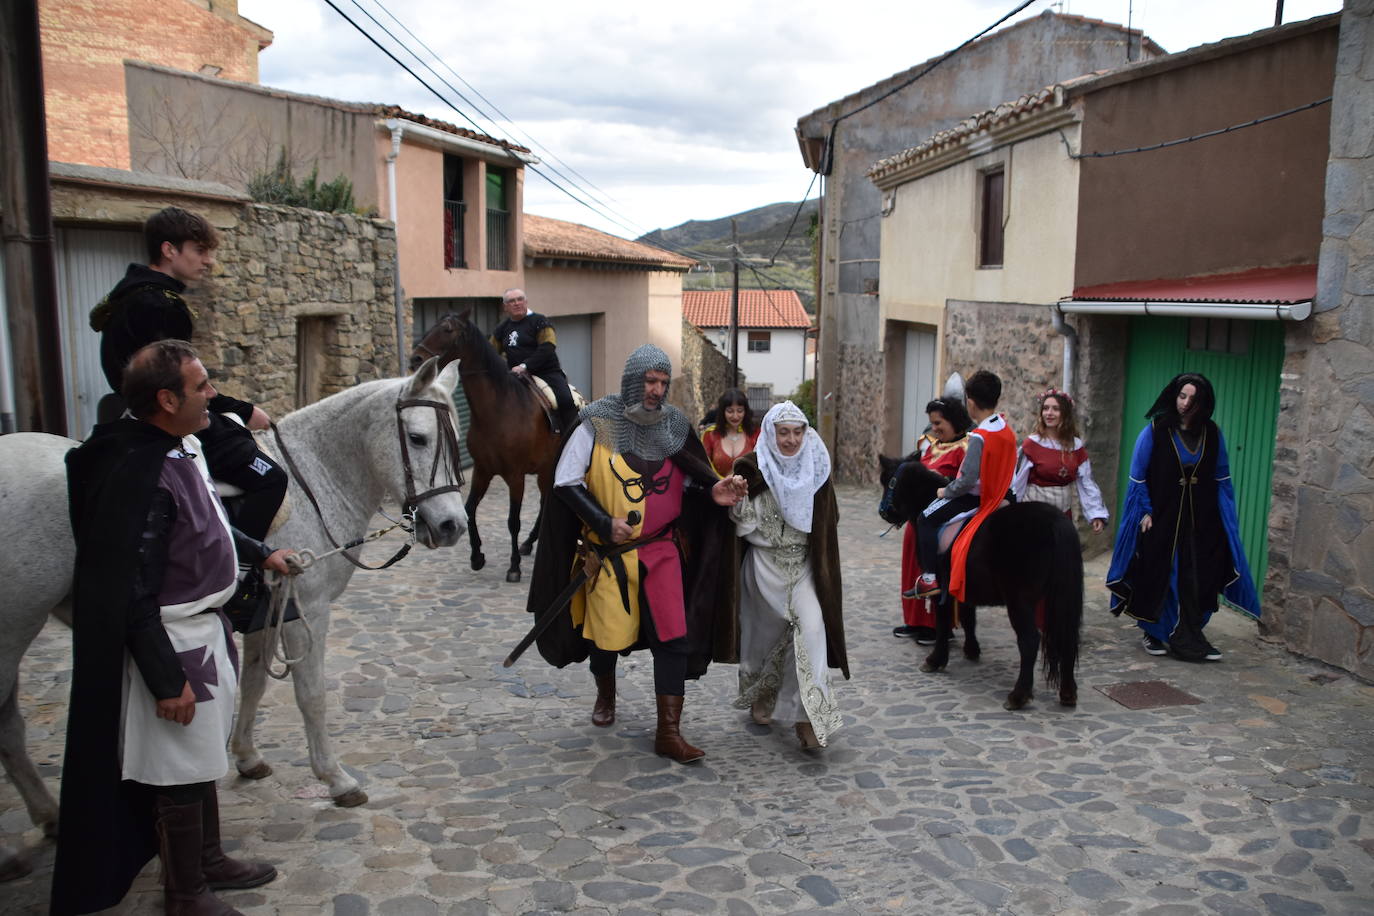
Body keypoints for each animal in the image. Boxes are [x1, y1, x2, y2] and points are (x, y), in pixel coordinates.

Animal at [0, 357, 467, 873]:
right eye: (419, 439)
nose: (453, 526)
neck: (314, 478)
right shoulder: (307, 611)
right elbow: (311, 697)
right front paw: (335, 778)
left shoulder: (271, 610)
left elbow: (256, 682)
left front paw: (246, 755)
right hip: (14, 628)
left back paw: (48, 815)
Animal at [409, 307, 555, 579]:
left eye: (447, 330)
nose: (416, 358)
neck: (498, 410)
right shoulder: (483, 470)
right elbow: (468, 510)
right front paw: (477, 556)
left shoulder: (516, 476)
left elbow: (513, 520)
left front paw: (514, 566)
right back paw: (529, 543)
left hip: (548, 470)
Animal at [879, 455, 1082, 714]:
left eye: (888, 481)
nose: (884, 512)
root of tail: (1056, 522)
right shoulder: (962, 586)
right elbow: (968, 617)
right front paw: (971, 649)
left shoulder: (941, 590)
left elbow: (943, 622)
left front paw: (935, 660)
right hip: (1057, 601)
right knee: (1067, 637)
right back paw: (1067, 692)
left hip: (1020, 602)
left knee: (1029, 642)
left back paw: (1018, 696)